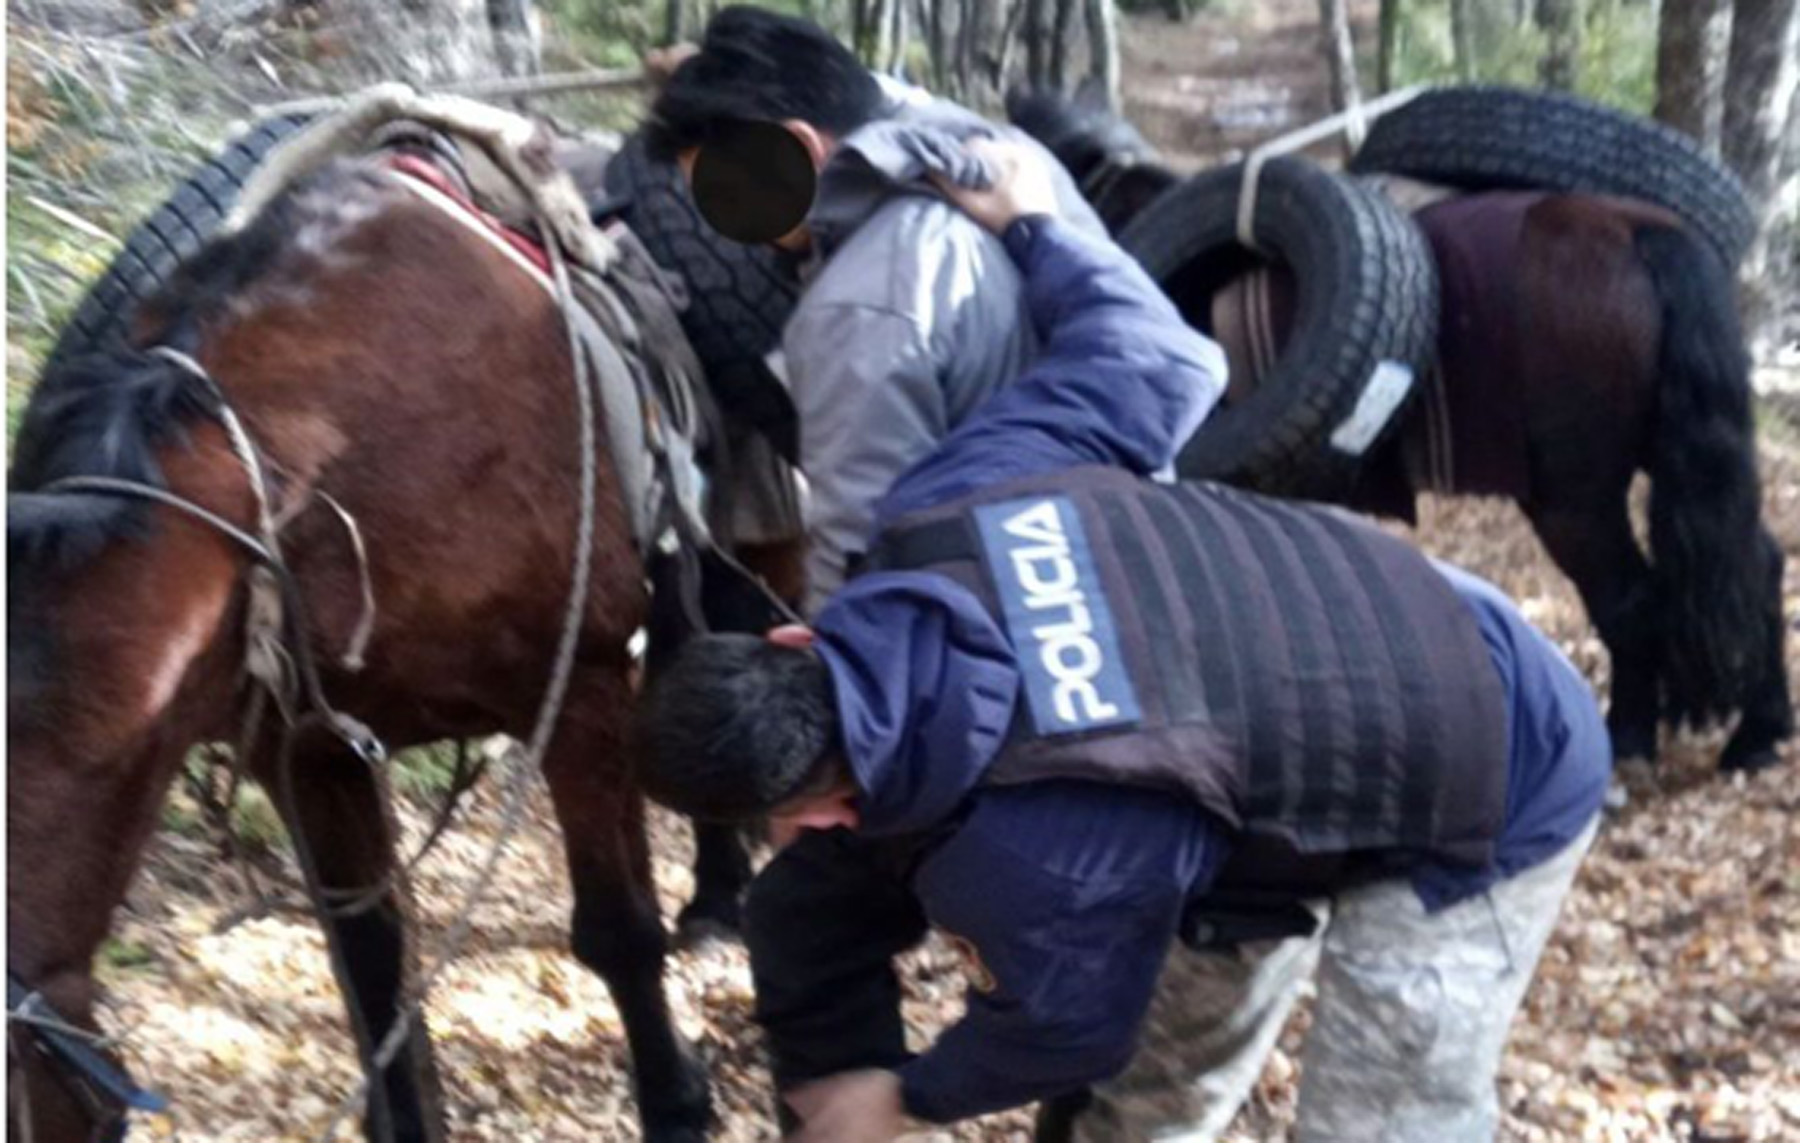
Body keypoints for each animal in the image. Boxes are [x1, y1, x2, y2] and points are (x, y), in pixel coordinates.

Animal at [1015, 89, 1785, 770]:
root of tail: (1640, 232)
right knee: (1755, 560)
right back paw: (1758, 735)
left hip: (1575, 500)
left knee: (1631, 600)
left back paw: (1628, 739)